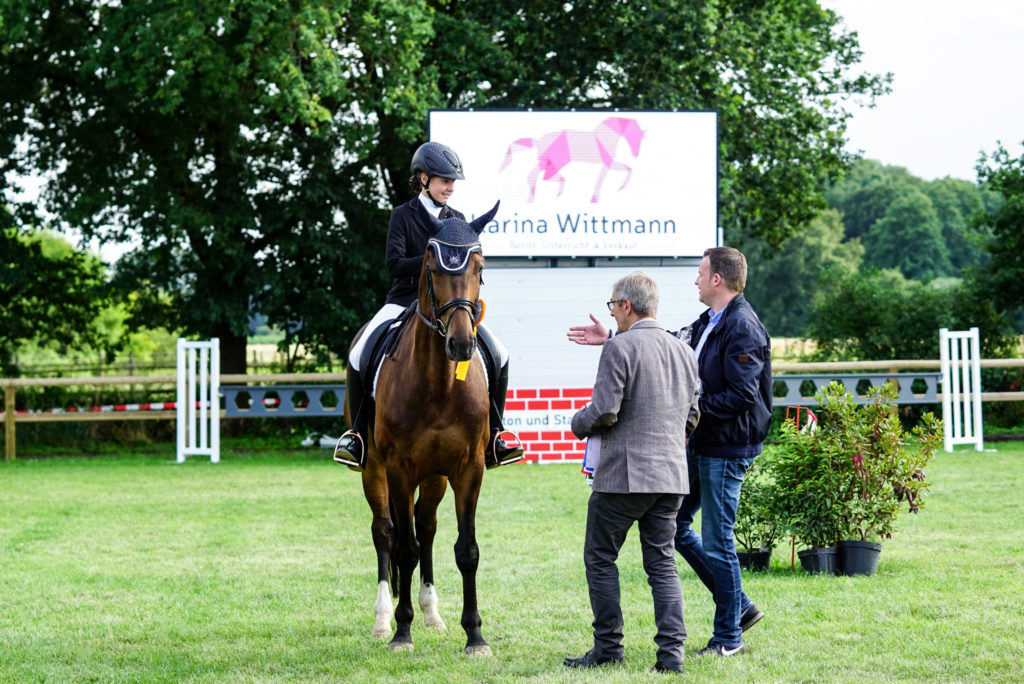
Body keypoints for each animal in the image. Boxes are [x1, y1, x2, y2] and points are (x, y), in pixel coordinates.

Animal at [348, 200, 499, 655]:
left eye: (480, 267)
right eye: (432, 268)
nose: (461, 345)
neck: (438, 384)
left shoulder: (468, 469)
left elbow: (466, 550)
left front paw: (475, 636)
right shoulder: (398, 469)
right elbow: (403, 548)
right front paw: (401, 632)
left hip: (435, 477)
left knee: (427, 527)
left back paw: (432, 614)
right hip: (373, 470)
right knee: (385, 533)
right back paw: (383, 620)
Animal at [499, 116, 643, 202]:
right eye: (635, 135)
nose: (636, 154)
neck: (605, 138)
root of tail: (539, 141)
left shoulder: (607, 163)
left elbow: (626, 169)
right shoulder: (607, 163)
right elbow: (605, 179)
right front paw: (596, 198)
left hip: (548, 162)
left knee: (536, 175)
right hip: (557, 161)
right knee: (540, 176)